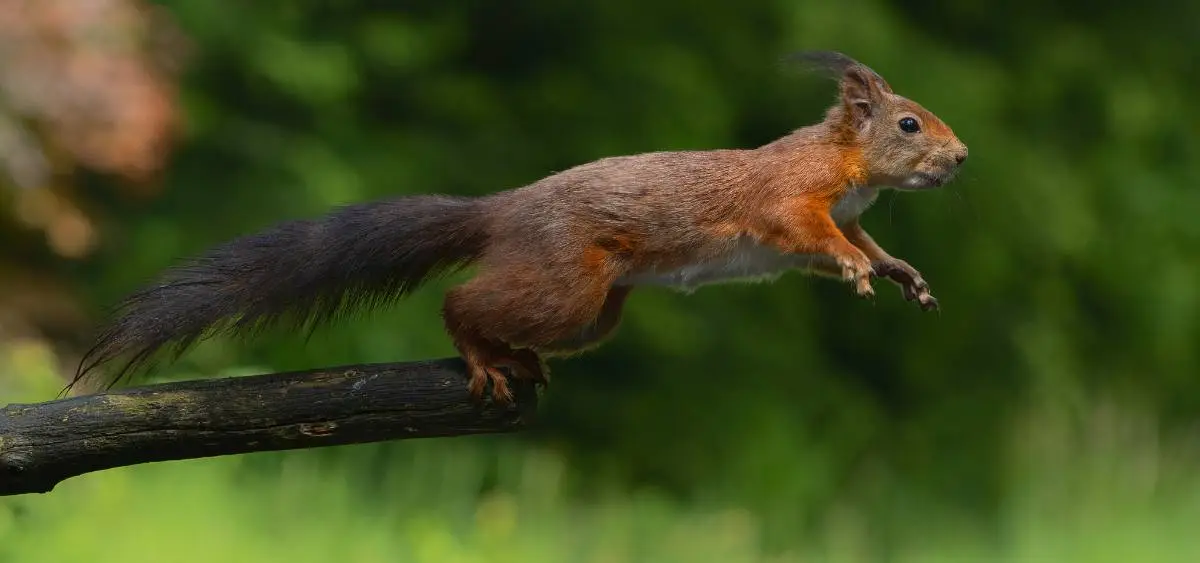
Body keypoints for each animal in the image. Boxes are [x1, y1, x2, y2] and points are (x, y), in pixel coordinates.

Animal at [70, 51, 968, 405]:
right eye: (910, 124)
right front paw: (858, 271)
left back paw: (519, 358)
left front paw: (898, 271)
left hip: (593, 312)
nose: (961, 158)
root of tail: (501, 210)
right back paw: (482, 355)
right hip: (569, 285)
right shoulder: (791, 200)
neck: (845, 165)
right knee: (460, 304)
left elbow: (861, 245)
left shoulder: (840, 214)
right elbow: (815, 239)